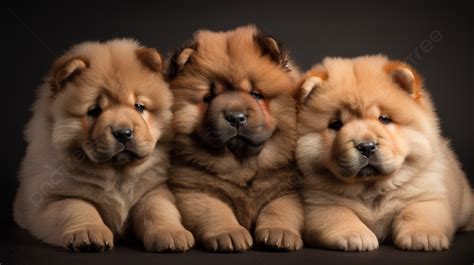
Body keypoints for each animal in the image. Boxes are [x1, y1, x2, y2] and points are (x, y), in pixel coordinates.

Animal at [13, 38, 194, 252]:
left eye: (139, 107)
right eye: (94, 111)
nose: (123, 133)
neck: (118, 174)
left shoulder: (154, 189)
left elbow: (159, 208)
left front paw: (171, 234)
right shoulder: (52, 199)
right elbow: (77, 207)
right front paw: (88, 234)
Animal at [167, 25, 304, 251]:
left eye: (256, 95)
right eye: (208, 98)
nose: (236, 117)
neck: (242, 164)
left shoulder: (289, 190)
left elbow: (279, 209)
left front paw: (279, 234)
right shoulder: (193, 190)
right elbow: (215, 211)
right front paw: (230, 235)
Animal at [296, 55, 474, 250]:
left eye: (384, 119)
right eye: (336, 124)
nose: (366, 146)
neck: (371, 190)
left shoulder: (425, 195)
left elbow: (417, 213)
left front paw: (423, 236)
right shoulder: (319, 203)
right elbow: (339, 216)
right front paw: (355, 236)